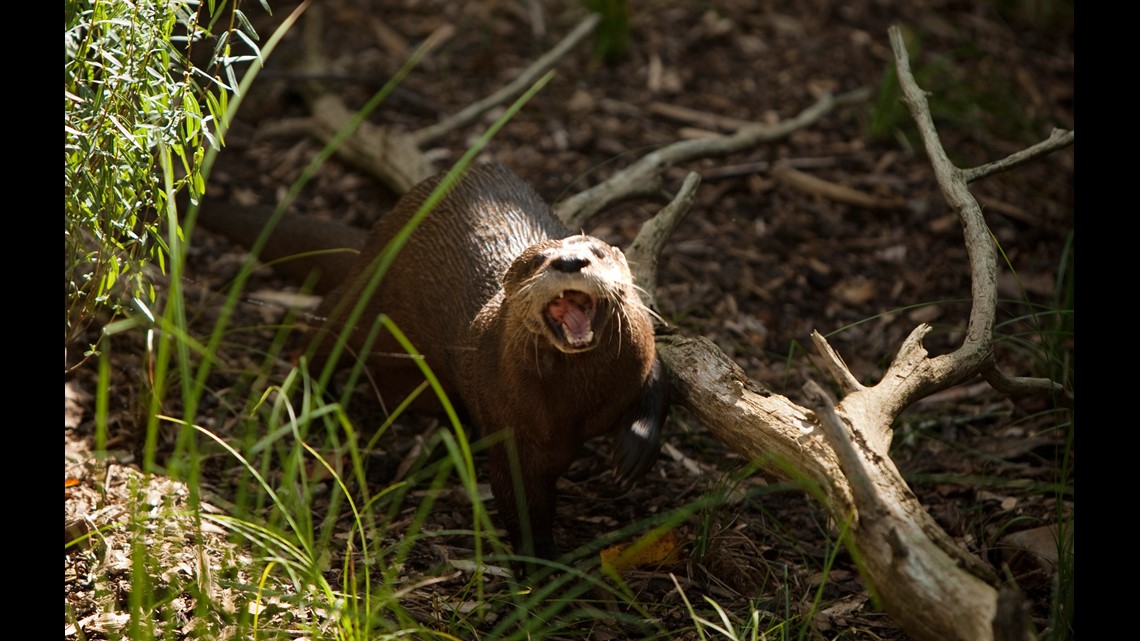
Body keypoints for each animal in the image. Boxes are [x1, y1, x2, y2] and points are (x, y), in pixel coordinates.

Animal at [195, 163, 668, 563]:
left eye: (596, 252)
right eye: (538, 260)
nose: (570, 261)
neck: (575, 404)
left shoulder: (643, 358)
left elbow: (658, 389)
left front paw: (632, 453)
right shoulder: (513, 429)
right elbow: (520, 501)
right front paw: (539, 568)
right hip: (363, 296)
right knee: (319, 336)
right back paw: (307, 397)